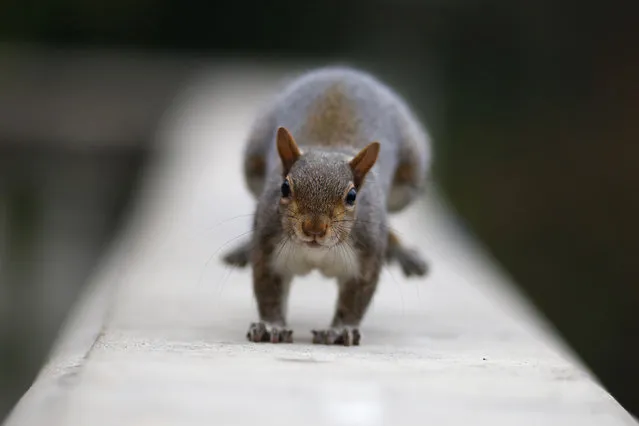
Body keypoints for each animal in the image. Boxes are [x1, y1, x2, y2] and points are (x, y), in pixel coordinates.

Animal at [221, 65, 436, 346]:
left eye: (352, 196)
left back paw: (403, 252)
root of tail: (341, 71)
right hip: (253, 163)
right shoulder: (268, 247)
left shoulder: (366, 255)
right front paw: (271, 326)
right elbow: (268, 291)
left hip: (409, 179)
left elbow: (355, 299)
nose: (314, 228)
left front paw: (341, 330)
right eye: (284, 187)